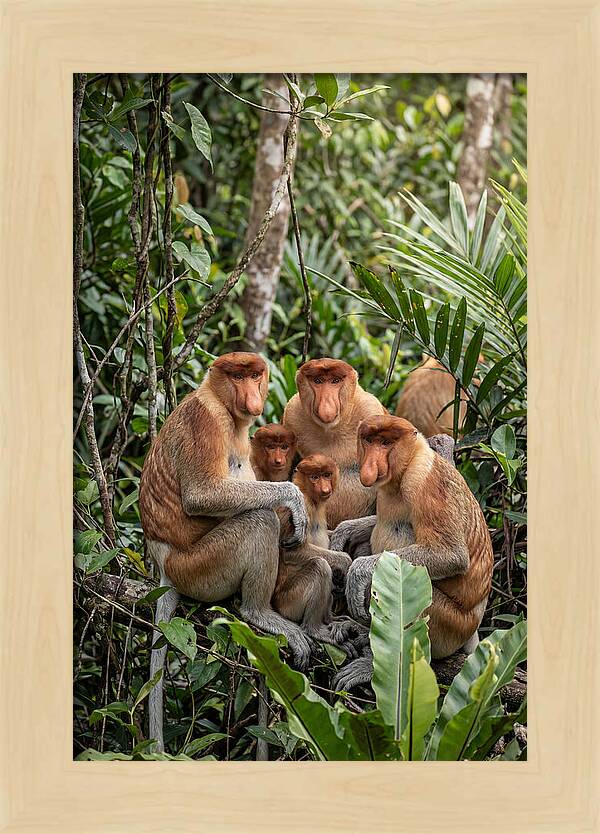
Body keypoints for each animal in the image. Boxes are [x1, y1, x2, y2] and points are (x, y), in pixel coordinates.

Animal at [139, 352, 312, 751]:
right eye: (236, 376)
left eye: (255, 375)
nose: (252, 396)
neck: (220, 400)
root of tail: (163, 564)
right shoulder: (206, 421)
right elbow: (203, 495)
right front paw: (294, 500)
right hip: (200, 567)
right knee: (259, 520)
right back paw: (258, 613)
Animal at [283, 358, 386, 529]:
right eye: (318, 381)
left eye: (335, 381)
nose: (326, 405)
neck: (331, 430)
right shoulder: (291, 414)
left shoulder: (370, 409)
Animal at [331, 415, 493, 691]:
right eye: (369, 440)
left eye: (386, 443)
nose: (370, 465)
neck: (407, 465)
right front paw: (343, 532)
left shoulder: (424, 483)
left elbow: (451, 554)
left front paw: (358, 572)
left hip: (449, 625)